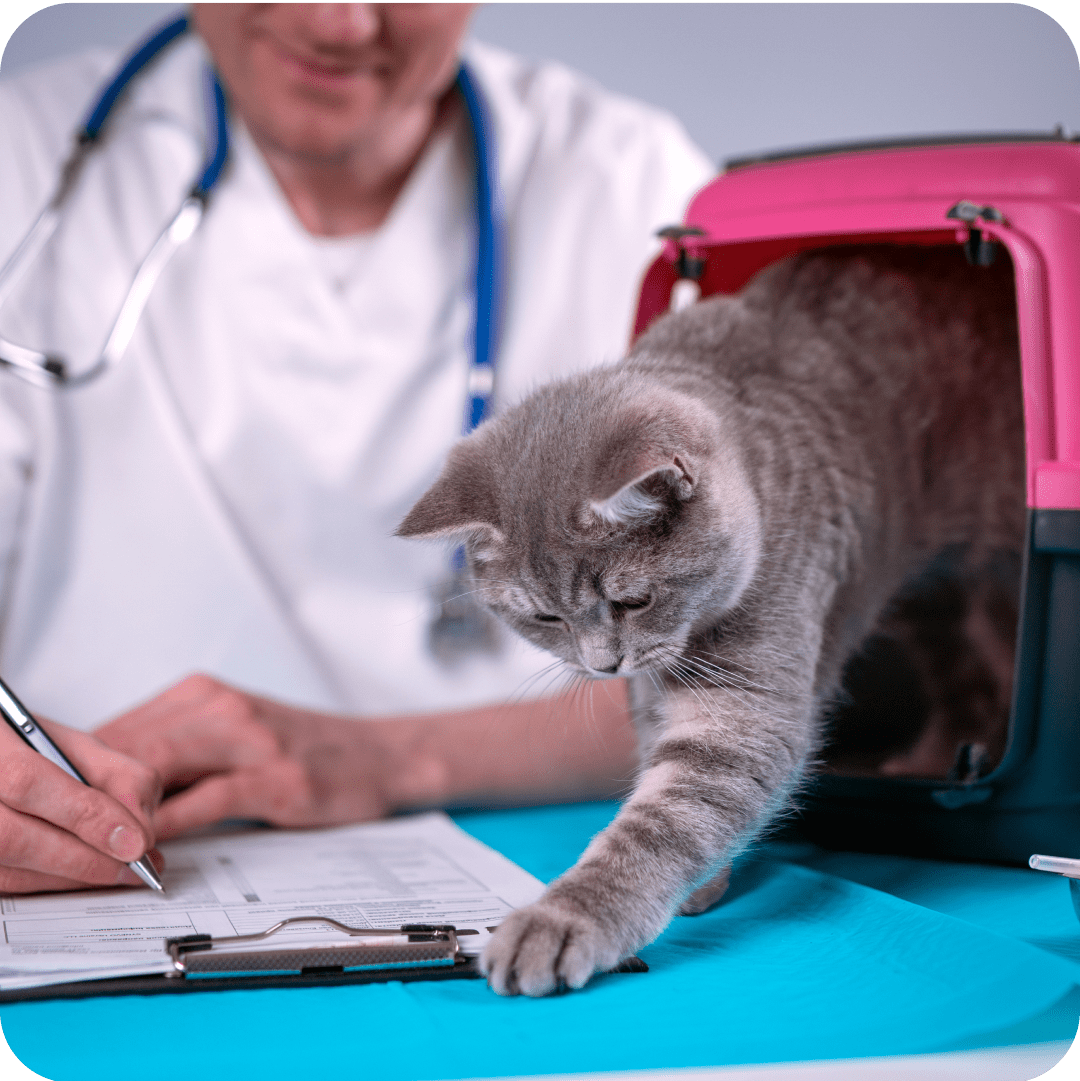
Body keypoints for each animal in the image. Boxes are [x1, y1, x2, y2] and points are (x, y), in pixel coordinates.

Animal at [397, 245, 1020, 994]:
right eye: (546, 616)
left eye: (630, 600)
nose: (602, 663)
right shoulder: (652, 695)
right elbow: (658, 768)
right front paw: (704, 879)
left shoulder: (744, 710)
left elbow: (664, 821)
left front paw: (566, 917)